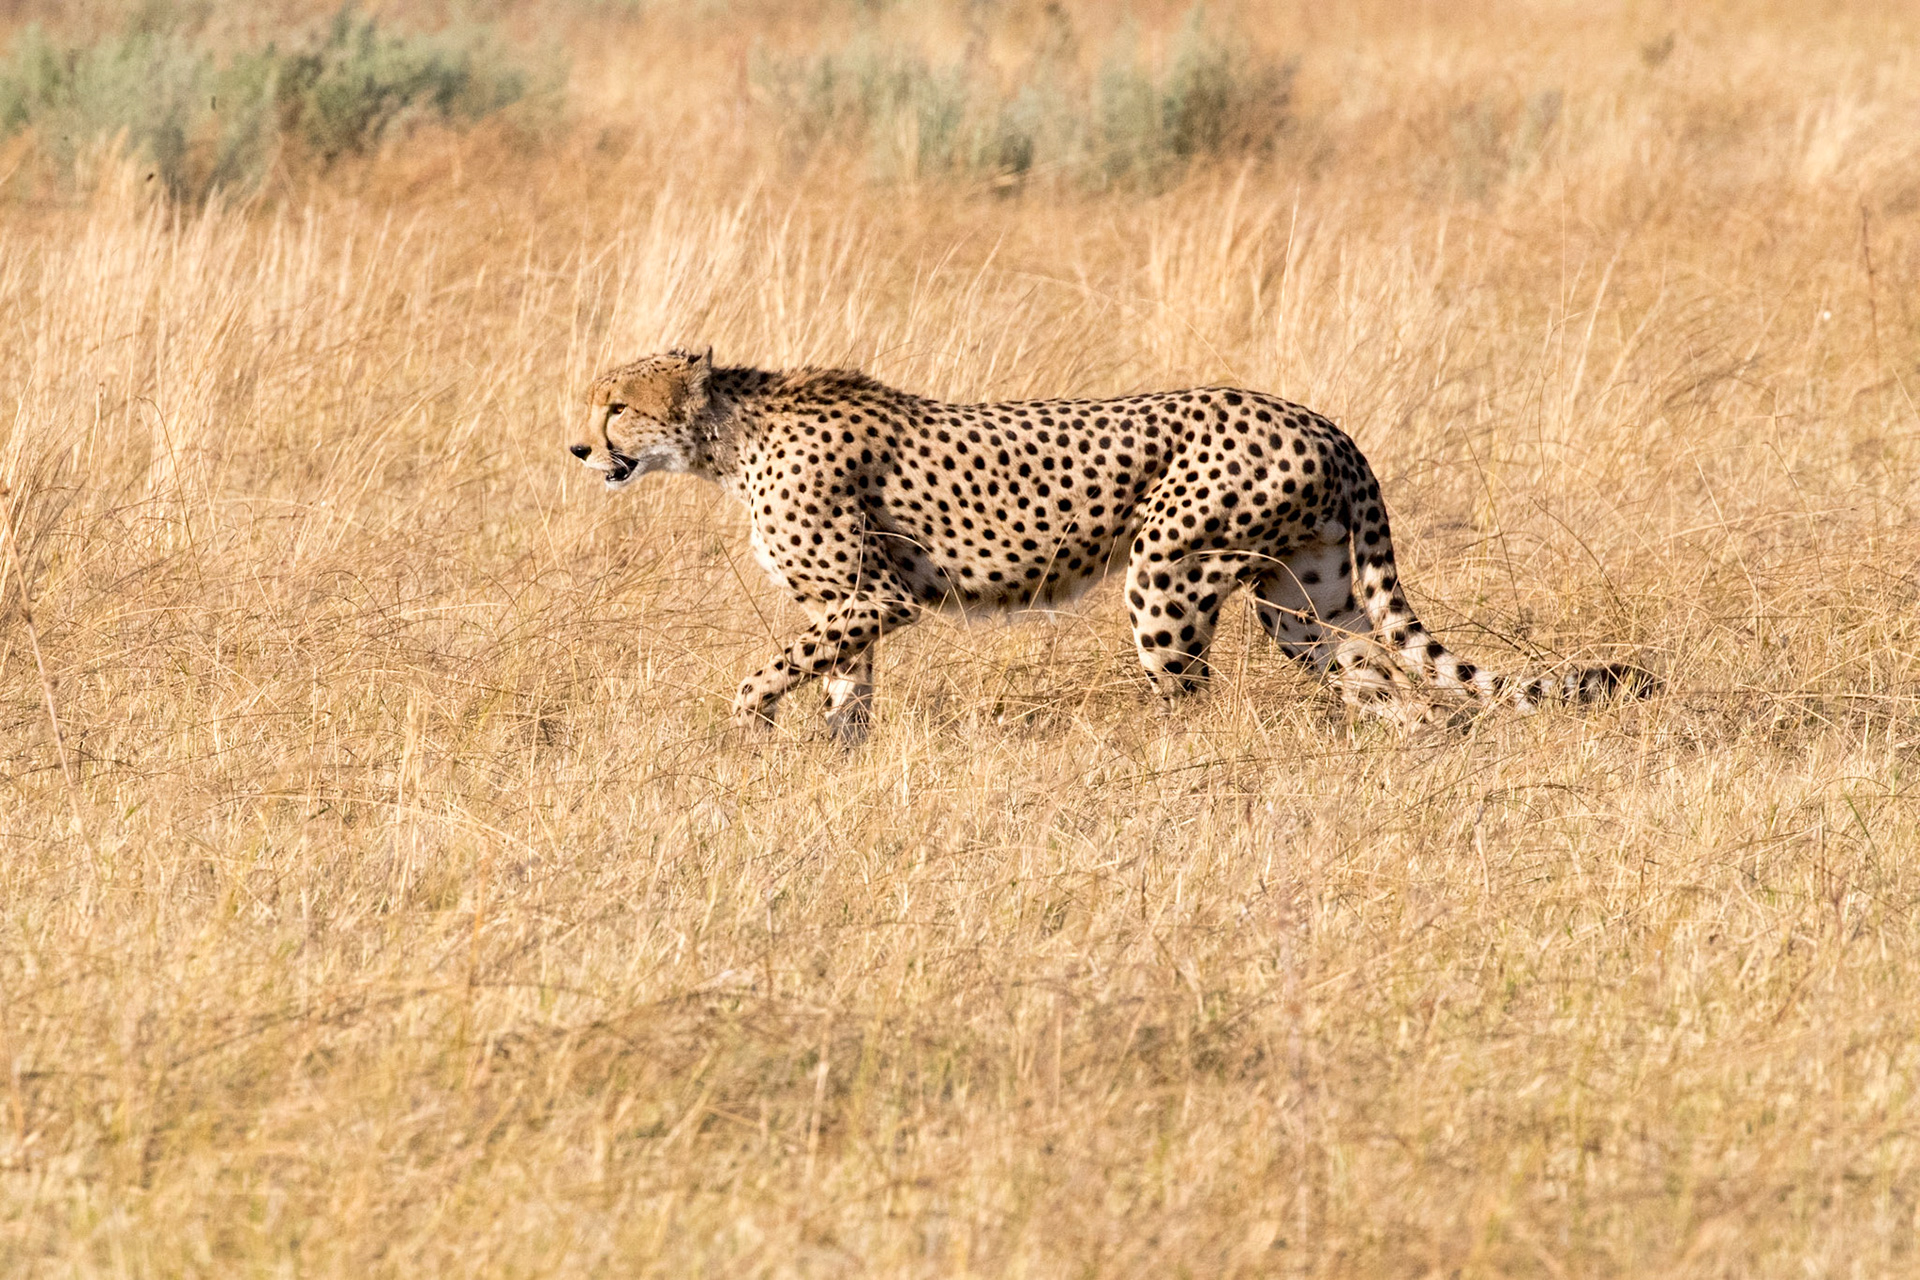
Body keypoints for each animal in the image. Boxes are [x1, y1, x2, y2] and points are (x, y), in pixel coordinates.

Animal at [567, 348, 1651, 743]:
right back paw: (1415, 746)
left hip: (1170, 571)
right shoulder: (849, 606)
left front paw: (751, 722)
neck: (729, 435)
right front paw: (835, 756)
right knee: (1382, 678)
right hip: (1307, 597)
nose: (580, 447)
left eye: (616, 404)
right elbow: (842, 682)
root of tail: (1318, 419)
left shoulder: (877, 595)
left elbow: (775, 668)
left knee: (1193, 689)